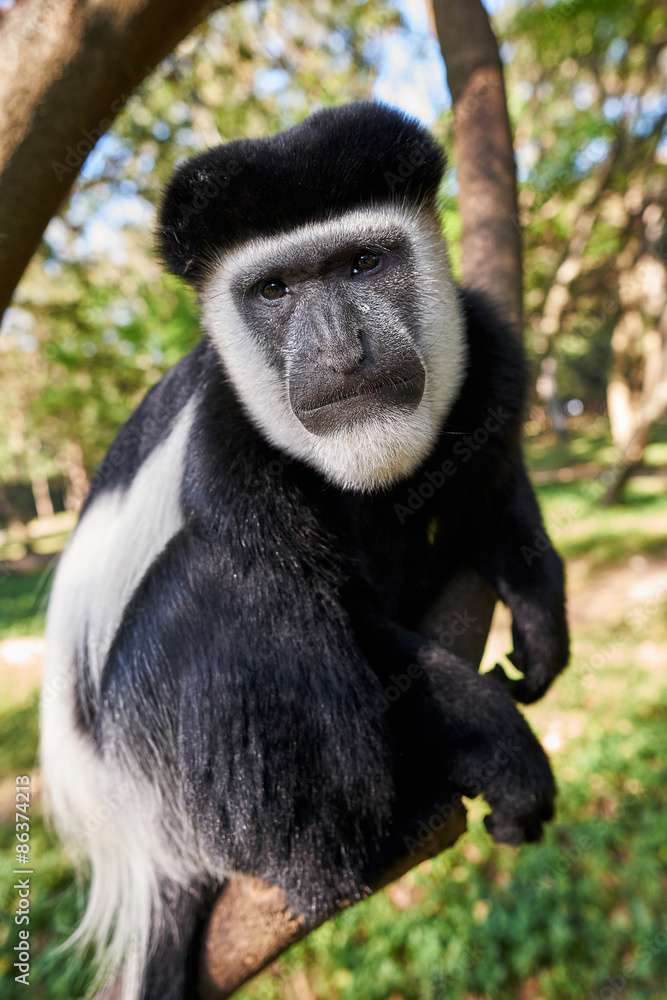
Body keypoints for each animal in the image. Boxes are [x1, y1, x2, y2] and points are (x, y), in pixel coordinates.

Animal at [40, 101, 569, 1000]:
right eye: (274, 290)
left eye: (362, 263)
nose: (339, 349)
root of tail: (138, 855)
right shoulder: (227, 454)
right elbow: (345, 626)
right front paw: (501, 746)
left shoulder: (487, 351)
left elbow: (490, 488)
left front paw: (537, 621)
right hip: (164, 779)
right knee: (221, 589)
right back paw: (362, 849)